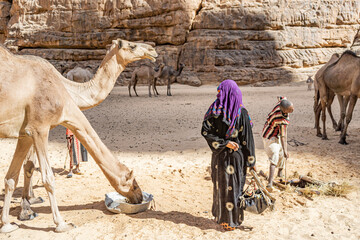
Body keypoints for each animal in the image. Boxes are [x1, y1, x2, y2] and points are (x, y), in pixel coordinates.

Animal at [0, 39, 158, 232]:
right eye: (133, 183)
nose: (152, 50)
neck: (66, 91)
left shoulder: (25, 133)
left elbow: (13, 175)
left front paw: (8, 223)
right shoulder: (38, 128)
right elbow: (46, 176)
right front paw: (59, 223)